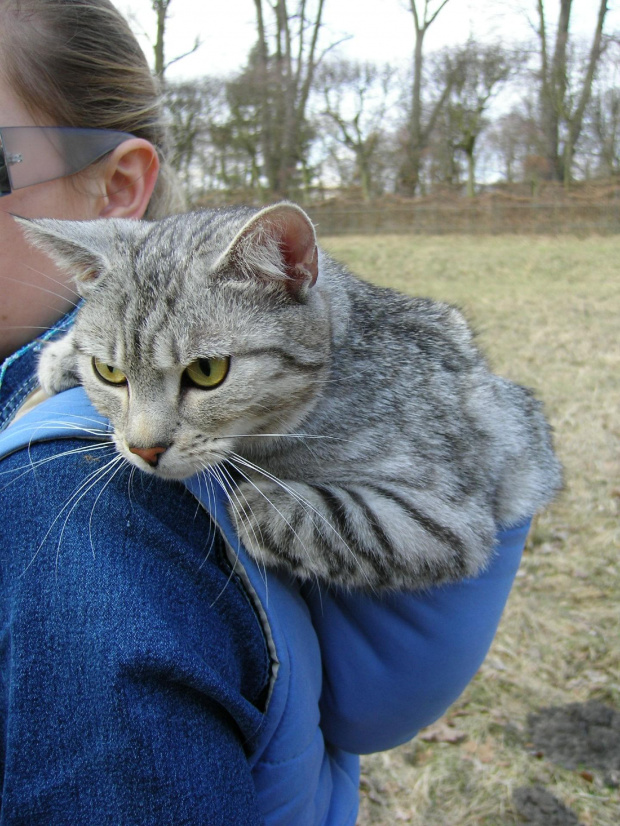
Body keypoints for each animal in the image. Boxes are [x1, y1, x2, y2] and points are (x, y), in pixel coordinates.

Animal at [18, 204, 560, 592]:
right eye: (109, 372)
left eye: (207, 372)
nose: (145, 450)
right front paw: (61, 355)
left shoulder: (441, 518)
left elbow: (305, 517)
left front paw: (258, 496)